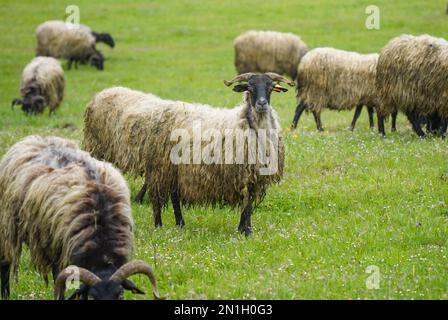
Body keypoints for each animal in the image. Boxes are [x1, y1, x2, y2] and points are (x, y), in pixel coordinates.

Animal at [84, 73, 294, 238]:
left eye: (271, 87)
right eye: (250, 87)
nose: (262, 104)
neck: (247, 124)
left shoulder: (254, 176)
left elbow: (248, 204)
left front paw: (246, 229)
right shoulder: (242, 173)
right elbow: (245, 202)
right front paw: (245, 230)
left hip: (175, 169)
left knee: (174, 196)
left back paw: (180, 223)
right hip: (159, 166)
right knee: (157, 197)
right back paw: (159, 225)